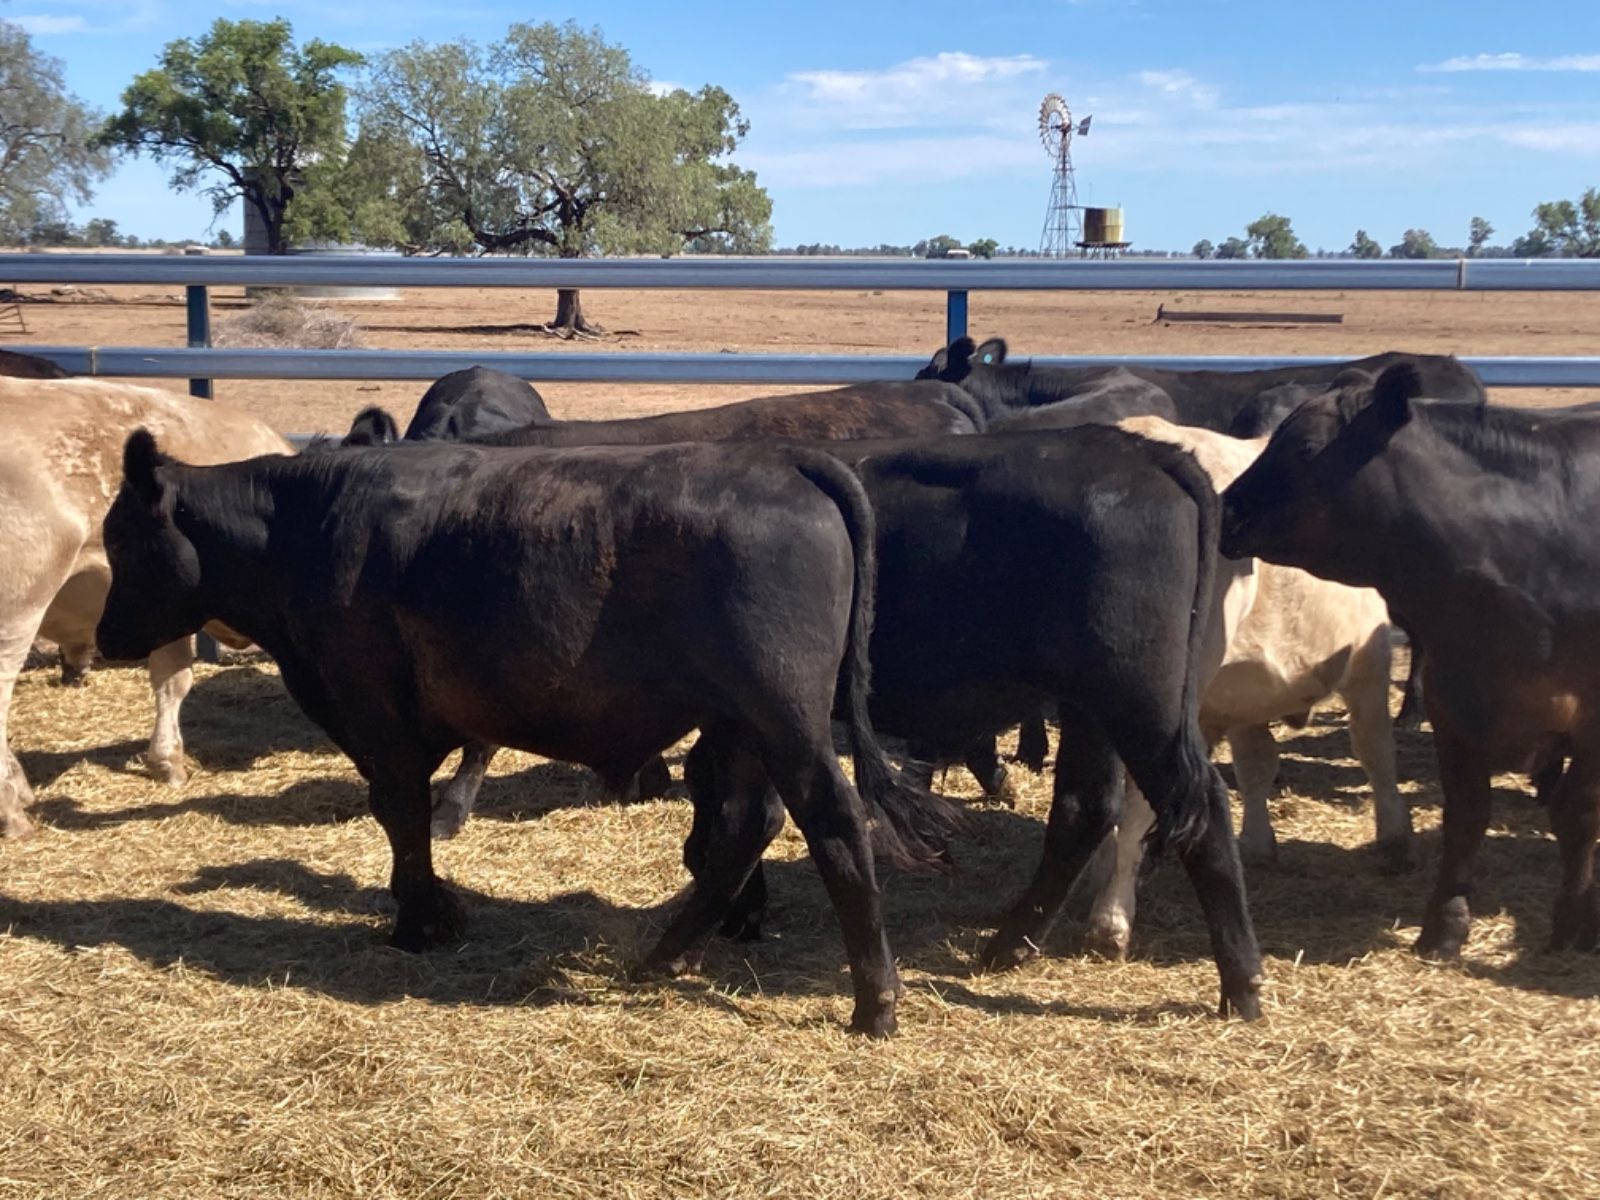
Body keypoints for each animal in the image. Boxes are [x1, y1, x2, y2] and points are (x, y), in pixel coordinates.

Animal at [95, 432, 959, 1037]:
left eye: (123, 541)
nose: (103, 637)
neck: (307, 527)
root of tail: (788, 461)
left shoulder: (376, 715)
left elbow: (401, 814)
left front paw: (419, 921)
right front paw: (434, 913)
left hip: (784, 713)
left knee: (834, 823)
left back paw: (874, 1003)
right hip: (740, 722)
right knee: (748, 826)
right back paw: (662, 958)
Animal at [1219, 363, 1600, 959]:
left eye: (1304, 445)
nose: (1227, 508)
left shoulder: (1590, 718)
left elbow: (1576, 813)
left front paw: (1573, 920)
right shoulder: (1453, 704)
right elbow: (1466, 815)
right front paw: (1444, 926)